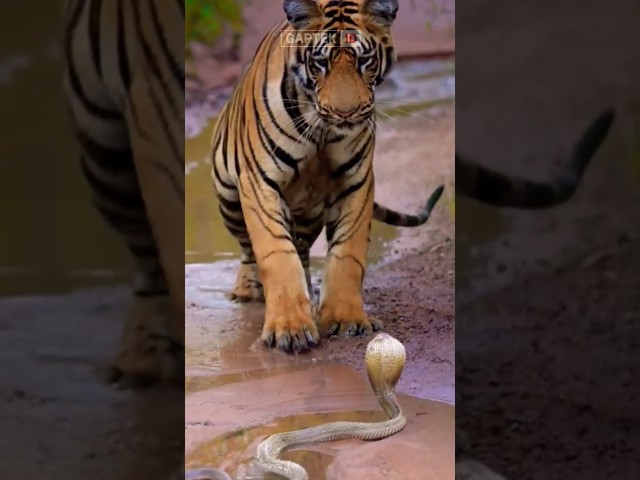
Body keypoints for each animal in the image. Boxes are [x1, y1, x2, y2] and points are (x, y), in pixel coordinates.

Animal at [210, 0, 444, 352]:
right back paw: (249, 289)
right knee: (250, 249)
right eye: (320, 63)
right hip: (229, 199)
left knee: (303, 250)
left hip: (309, 214)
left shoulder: (356, 182)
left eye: (364, 60)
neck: (321, 130)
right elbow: (276, 254)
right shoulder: (260, 182)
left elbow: (348, 254)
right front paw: (289, 328)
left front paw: (347, 319)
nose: (345, 113)